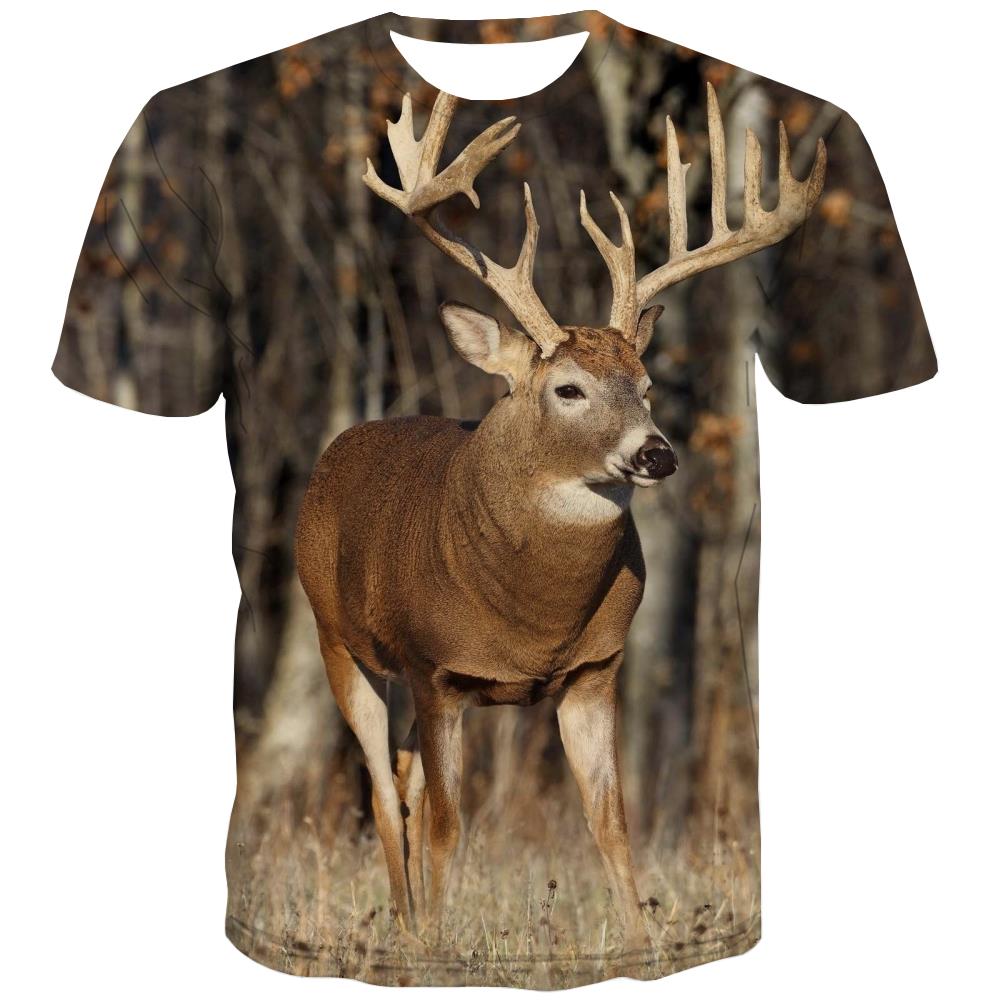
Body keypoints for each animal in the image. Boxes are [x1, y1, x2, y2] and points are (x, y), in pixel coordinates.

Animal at [295, 83, 826, 951]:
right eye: (568, 389)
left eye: (646, 384)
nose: (657, 453)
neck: (533, 615)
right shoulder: (437, 670)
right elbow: (448, 825)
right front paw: (438, 945)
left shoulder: (594, 670)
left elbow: (610, 822)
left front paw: (642, 946)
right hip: (338, 639)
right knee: (381, 791)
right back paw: (408, 931)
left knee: (403, 779)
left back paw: (408, 923)